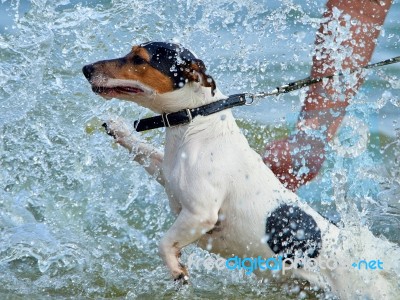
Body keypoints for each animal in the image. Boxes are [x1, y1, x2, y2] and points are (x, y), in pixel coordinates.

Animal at [83, 41, 398, 298]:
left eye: (139, 59)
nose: (86, 68)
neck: (196, 122)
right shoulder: (168, 176)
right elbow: (143, 150)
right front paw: (118, 129)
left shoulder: (200, 213)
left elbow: (164, 243)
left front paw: (177, 270)